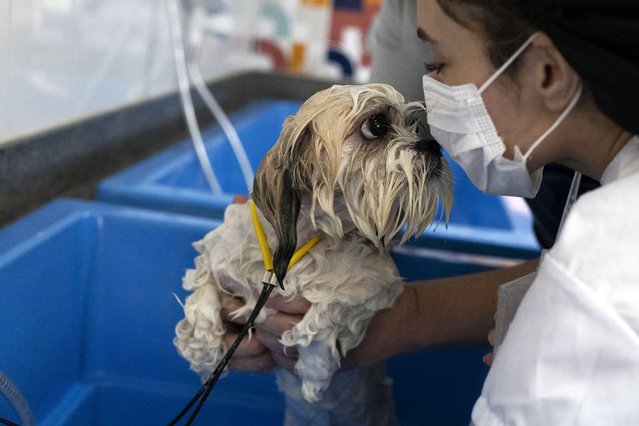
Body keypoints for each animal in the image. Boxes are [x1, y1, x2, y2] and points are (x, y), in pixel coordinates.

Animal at [175, 84, 456, 426]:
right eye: (377, 124)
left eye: (413, 125)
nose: (433, 145)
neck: (295, 245)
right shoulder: (214, 261)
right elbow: (202, 297)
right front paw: (203, 351)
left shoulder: (379, 285)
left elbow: (328, 310)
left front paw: (313, 368)